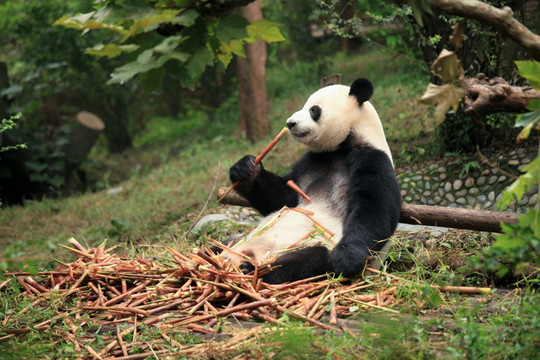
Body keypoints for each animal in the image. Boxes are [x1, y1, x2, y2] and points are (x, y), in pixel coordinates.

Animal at [219, 78, 400, 284]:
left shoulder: (372, 159)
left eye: (314, 110)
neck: (341, 146)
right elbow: (282, 199)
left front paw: (347, 258)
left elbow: (375, 208)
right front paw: (246, 170)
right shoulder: (310, 162)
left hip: (311, 245)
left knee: (310, 260)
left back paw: (253, 270)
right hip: (239, 240)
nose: (290, 123)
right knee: (222, 243)